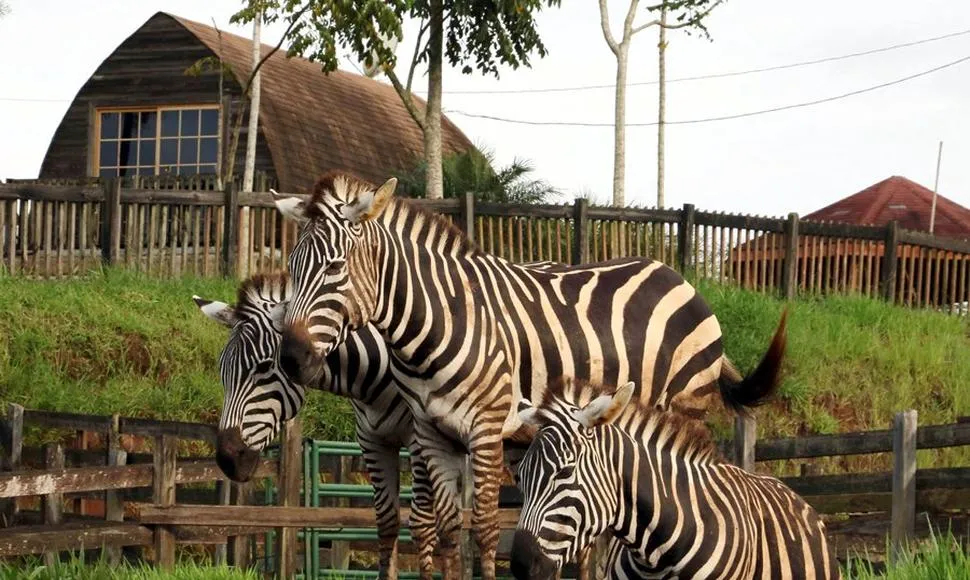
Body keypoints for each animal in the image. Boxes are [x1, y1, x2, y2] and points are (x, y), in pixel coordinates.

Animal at [193, 274, 458, 580]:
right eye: (222, 370)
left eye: (263, 367)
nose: (227, 459)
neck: (378, 373)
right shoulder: (372, 439)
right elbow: (387, 523)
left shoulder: (419, 441)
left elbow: (424, 526)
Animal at [270, 172, 788, 580]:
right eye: (291, 267)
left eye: (334, 267)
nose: (292, 357)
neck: (440, 319)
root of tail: (681, 279)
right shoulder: (431, 432)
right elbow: (446, 527)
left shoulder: (483, 429)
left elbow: (481, 528)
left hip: (683, 408)